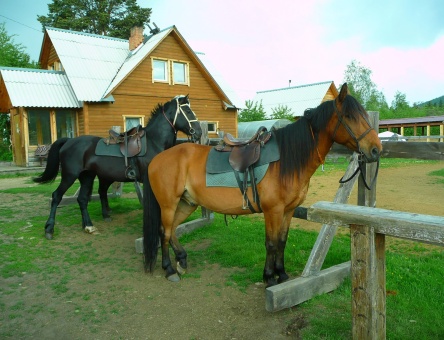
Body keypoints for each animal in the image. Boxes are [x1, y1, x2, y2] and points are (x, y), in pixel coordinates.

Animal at [33, 95, 202, 239]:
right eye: (188, 111)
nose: (199, 132)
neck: (154, 142)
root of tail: (69, 141)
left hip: (87, 176)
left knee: (82, 199)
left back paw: (88, 226)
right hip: (69, 176)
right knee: (57, 196)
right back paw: (49, 229)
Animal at [142, 83, 382, 286]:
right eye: (349, 116)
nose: (376, 150)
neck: (286, 159)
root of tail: (157, 159)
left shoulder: (288, 210)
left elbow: (282, 241)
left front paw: (282, 274)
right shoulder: (272, 210)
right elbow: (271, 243)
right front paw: (269, 277)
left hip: (187, 202)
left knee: (172, 229)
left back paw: (181, 261)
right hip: (168, 204)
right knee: (164, 231)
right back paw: (169, 269)